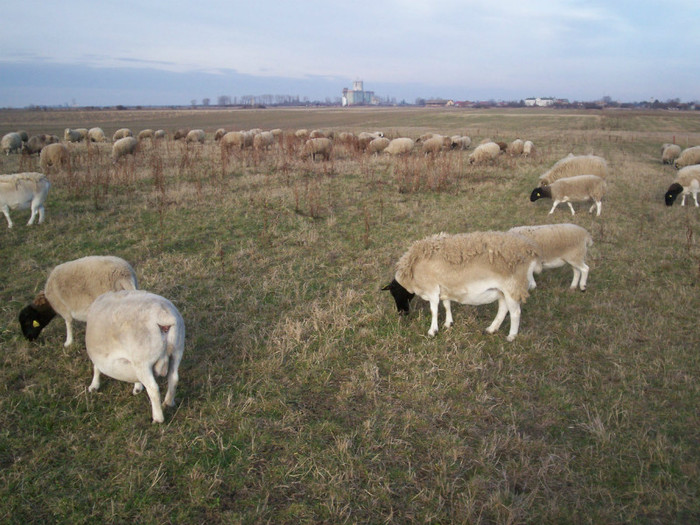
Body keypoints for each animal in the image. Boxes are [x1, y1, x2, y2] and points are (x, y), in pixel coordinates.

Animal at [84, 288, 186, 424]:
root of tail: (164, 316)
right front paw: (137, 387)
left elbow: (96, 368)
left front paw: (94, 386)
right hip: (177, 350)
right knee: (174, 378)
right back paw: (168, 403)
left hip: (143, 361)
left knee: (153, 388)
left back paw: (158, 418)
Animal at [382, 229, 540, 340]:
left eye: (394, 293)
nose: (402, 313)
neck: (412, 272)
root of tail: (531, 250)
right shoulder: (443, 287)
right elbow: (446, 304)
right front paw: (448, 323)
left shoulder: (432, 289)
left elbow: (434, 310)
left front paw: (432, 331)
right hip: (502, 290)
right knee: (503, 308)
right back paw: (491, 329)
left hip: (513, 286)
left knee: (515, 312)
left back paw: (511, 336)